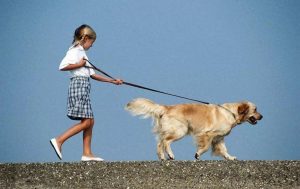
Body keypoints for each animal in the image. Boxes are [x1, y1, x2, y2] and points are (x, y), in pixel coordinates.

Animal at [125, 98, 262, 160]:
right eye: (255, 109)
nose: (262, 116)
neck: (232, 113)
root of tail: (167, 107)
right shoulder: (207, 134)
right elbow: (205, 147)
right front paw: (198, 154)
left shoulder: (219, 138)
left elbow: (224, 150)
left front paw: (230, 157)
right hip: (181, 130)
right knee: (166, 141)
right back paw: (170, 155)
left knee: (160, 143)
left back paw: (163, 157)